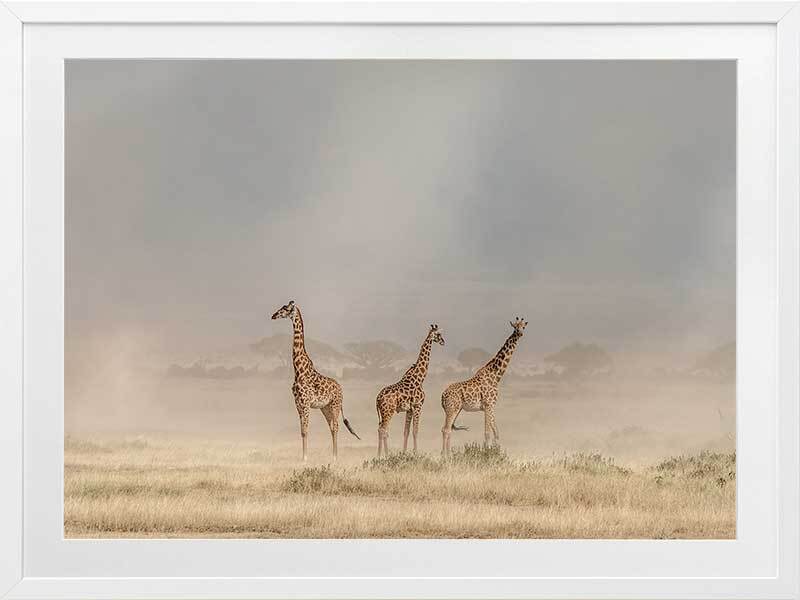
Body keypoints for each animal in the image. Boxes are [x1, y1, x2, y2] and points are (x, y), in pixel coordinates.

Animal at [270, 300, 360, 461]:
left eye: (285, 309)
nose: (273, 315)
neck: (299, 371)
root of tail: (341, 388)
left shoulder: (305, 403)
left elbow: (305, 430)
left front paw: (305, 458)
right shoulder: (298, 404)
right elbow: (302, 431)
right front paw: (303, 457)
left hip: (335, 405)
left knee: (336, 426)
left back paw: (335, 457)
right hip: (325, 407)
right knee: (331, 427)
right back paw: (332, 456)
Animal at [375, 324, 445, 457]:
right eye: (439, 334)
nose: (443, 342)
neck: (420, 378)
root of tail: (377, 399)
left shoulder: (409, 409)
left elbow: (406, 431)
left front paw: (404, 453)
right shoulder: (418, 405)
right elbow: (415, 430)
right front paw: (415, 453)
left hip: (382, 413)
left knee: (380, 429)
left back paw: (379, 455)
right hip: (388, 411)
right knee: (383, 429)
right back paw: (385, 455)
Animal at [440, 317, 528, 455]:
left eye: (523, 327)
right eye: (515, 327)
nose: (520, 333)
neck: (496, 376)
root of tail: (442, 396)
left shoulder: (491, 406)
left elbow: (496, 432)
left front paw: (496, 453)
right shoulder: (488, 405)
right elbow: (487, 433)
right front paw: (487, 454)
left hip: (456, 409)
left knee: (448, 430)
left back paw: (448, 454)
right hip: (452, 409)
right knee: (446, 429)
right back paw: (445, 456)